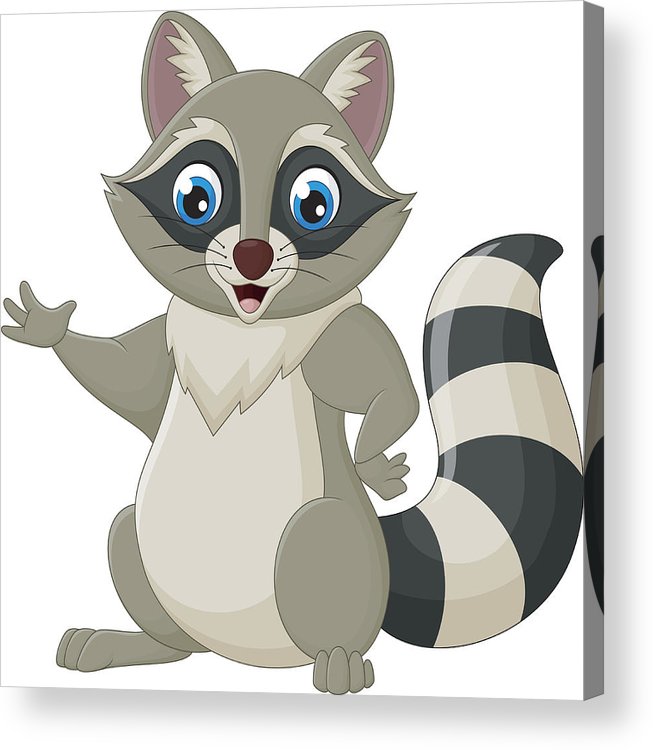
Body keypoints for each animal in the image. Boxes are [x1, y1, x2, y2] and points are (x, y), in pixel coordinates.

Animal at [2, 11, 582, 694]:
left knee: (320, 541)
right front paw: (49, 329)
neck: (244, 326)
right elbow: (124, 377)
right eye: (196, 197)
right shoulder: (166, 339)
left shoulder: (346, 336)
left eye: (314, 204)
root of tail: (238, 655)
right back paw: (138, 644)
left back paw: (339, 660)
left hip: (328, 547)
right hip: (143, 549)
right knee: (133, 548)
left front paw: (369, 461)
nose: (251, 256)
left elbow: (392, 392)